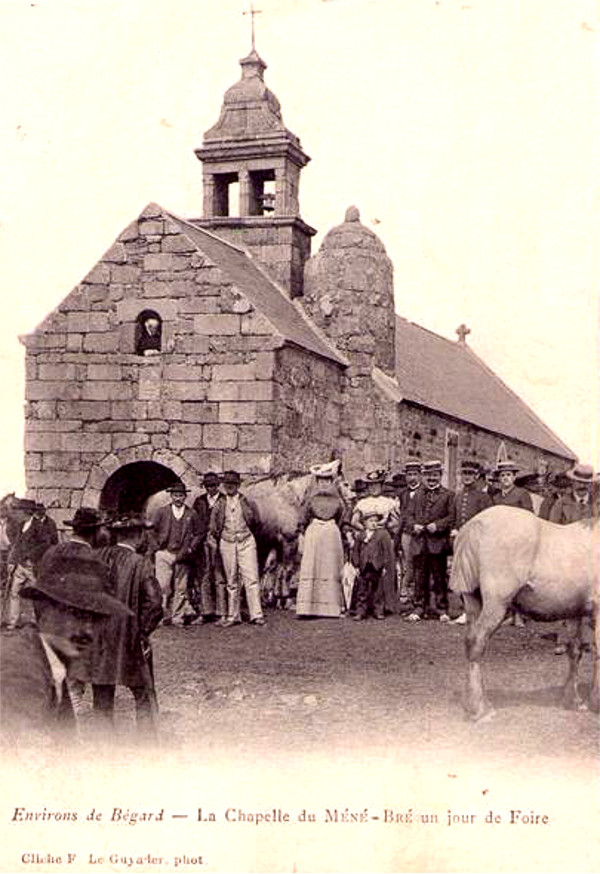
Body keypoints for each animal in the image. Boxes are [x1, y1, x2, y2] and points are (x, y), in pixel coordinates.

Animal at [452, 504, 596, 724]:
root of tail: (476, 524)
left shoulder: (574, 612)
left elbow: (575, 651)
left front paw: (572, 700)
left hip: (473, 602)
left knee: (470, 643)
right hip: (496, 604)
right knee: (477, 643)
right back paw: (480, 710)